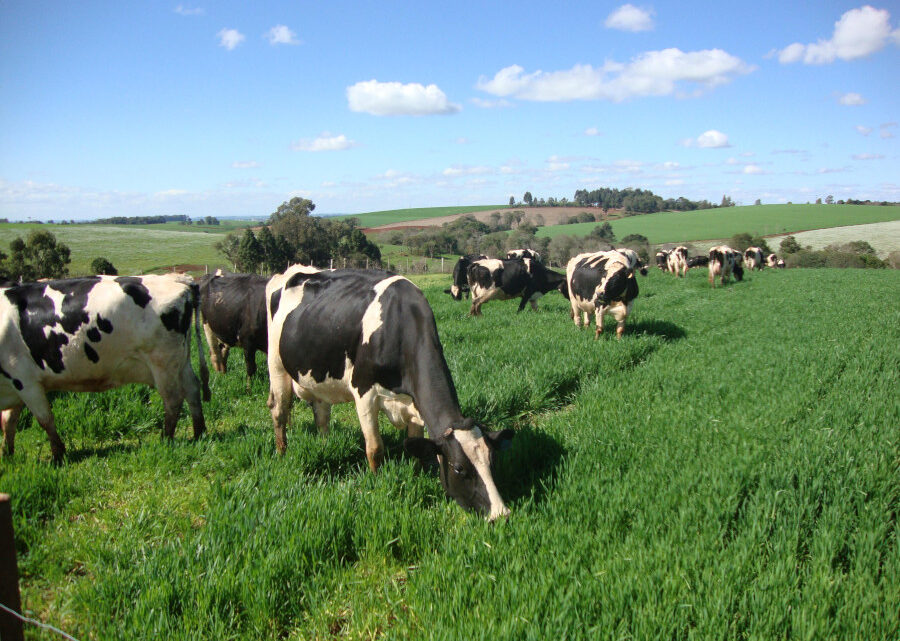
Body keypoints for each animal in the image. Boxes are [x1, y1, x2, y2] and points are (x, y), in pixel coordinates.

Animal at [0, 274, 211, 460]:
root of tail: (175, 278)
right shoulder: (16, 386)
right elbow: (8, 421)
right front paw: (7, 454)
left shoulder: (25, 381)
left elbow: (44, 419)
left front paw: (58, 456)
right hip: (180, 360)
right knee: (192, 388)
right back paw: (199, 432)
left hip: (162, 362)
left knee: (173, 398)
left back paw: (166, 439)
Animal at [266, 264, 512, 520]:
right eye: (459, 468)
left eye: (492, 461)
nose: (501, 513)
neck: (399, 328)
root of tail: (294, 270)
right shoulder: (364, 393)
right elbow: (375, 449)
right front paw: (375, 483)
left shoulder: (413, 406)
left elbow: (415, 447)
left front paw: (417, 475)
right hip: (276, 364)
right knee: (279, 411)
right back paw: (282, 452)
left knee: (321, 415)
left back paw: (325, 446)